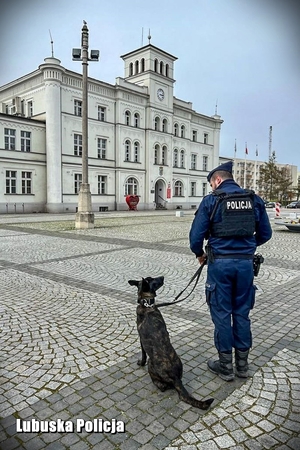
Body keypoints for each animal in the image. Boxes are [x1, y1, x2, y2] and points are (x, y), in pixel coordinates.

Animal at [127, 276, 214, 410]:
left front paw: (140, 363)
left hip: (151, 364)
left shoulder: (141, 339)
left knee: (162, 386)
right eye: (153, 279)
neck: (147, 305)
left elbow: (143, 355)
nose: (162, 277)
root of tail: (176, 378)